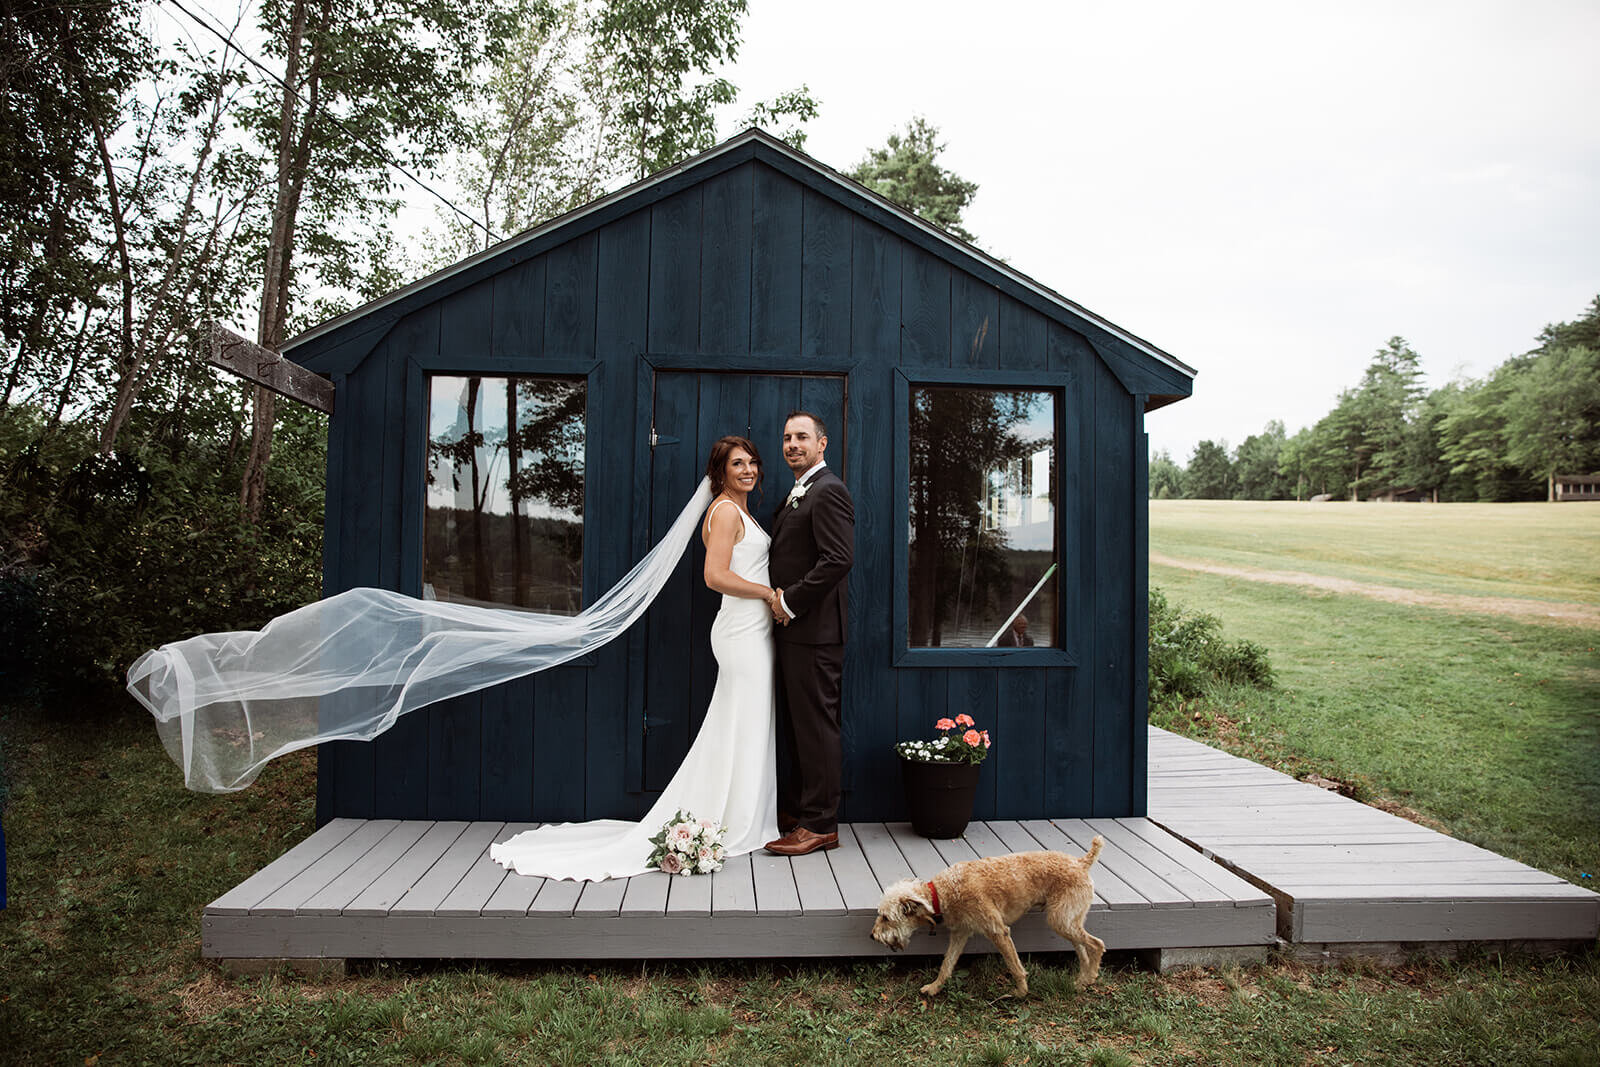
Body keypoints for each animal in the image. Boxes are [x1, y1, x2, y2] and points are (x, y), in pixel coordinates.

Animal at [870, 844, 1107, 1004]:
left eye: (885, 918)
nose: (872, 936)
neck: (942, 893)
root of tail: (1081, 862)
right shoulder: (960, 934)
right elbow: (947, 965)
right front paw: (934, 988)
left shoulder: (998, 931)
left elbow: (1015, 967)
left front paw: (1020, 993)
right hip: (1067, 921)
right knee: (1084, 950)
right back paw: (1082, 981)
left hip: (1060, 920)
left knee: (1097, 945)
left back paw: (1090, 978)